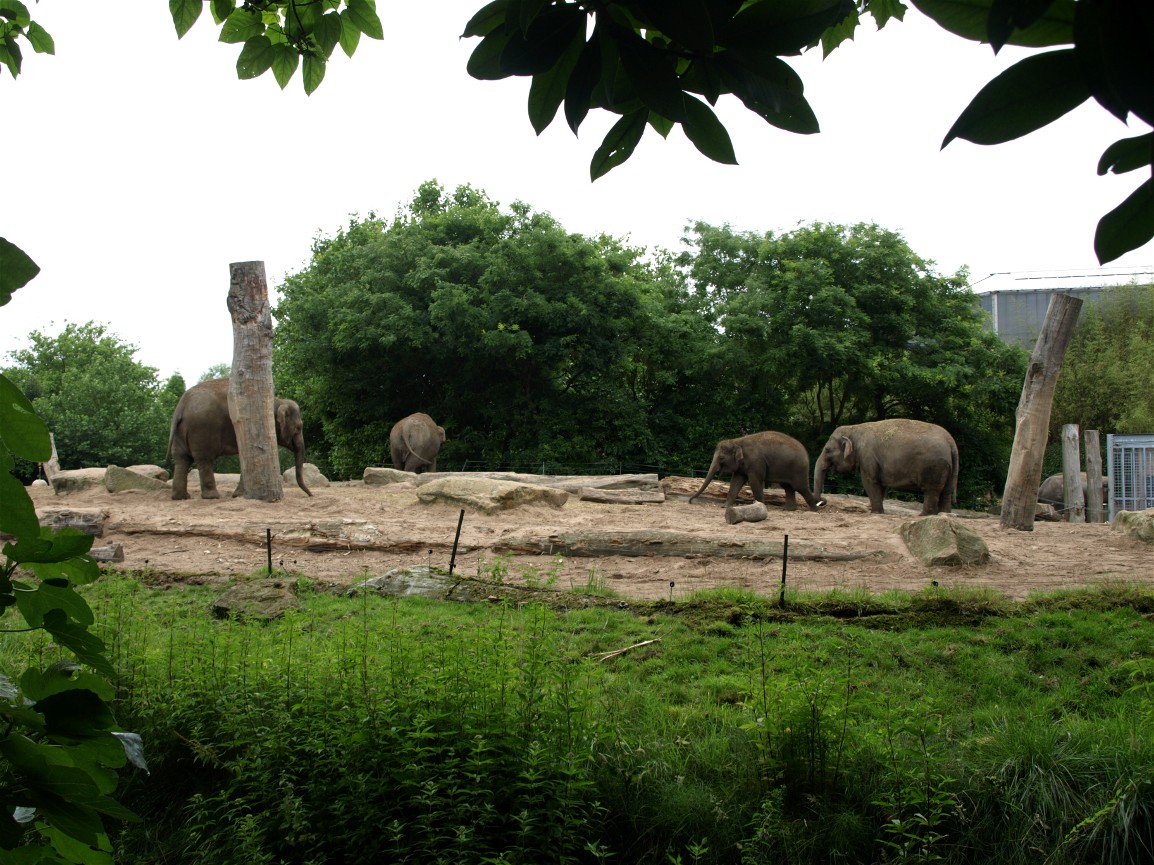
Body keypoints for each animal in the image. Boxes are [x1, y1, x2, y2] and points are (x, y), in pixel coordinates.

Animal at [167, 377, 312, 500]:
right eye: (299, 427)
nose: (311, 495)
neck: (279, 401)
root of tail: (181, 407)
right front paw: (239, 495)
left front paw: (237, 495)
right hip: (202, 430)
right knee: (204, 459)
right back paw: (212, 497)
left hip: (181, 431)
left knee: (181, 460)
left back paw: (181, 497)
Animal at [688, 431, 823, 511]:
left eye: (721, 458)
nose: (690, 501)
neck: (737, 441)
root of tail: (805, 452)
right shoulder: (742, 466)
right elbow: (736, 482)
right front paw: (725, 507)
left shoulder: (756, 462)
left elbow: (754, 481)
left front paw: (760, 506)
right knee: (787, 487)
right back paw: (788, 509)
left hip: (798, 468)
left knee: (800, 487)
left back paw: (813, 510)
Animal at [813, 419, 958, 515]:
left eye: (828, 450)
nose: (823, 501)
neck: (854, 429)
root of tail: (951, 442)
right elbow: (882, 484)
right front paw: (873, 508)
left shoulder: (868, 456)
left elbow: (870, 482)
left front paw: (875, 512)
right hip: (948, 468)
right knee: (946, 491)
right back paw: (943, 514)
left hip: (934, 467)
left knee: (931, 491)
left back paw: (923, 515)